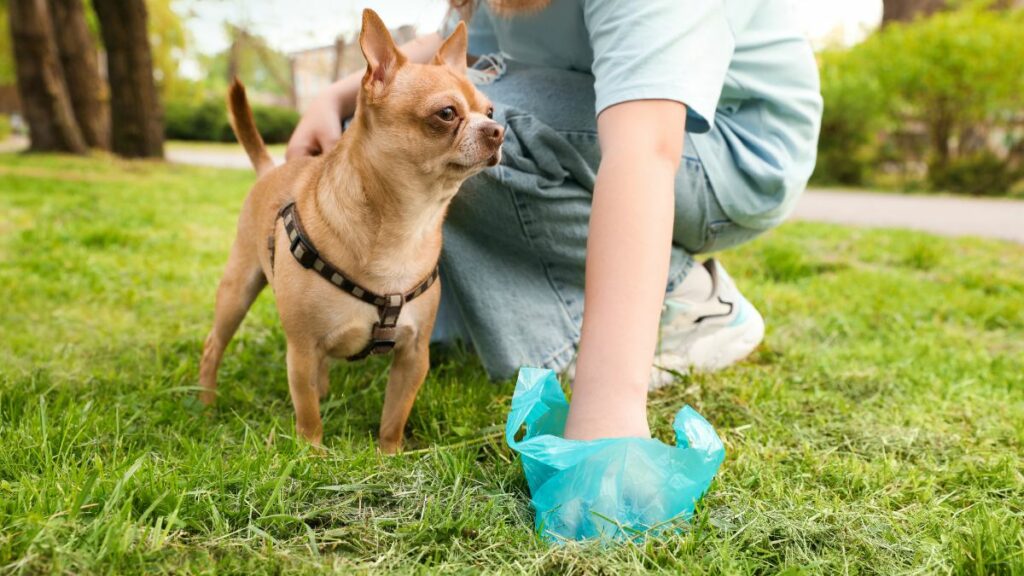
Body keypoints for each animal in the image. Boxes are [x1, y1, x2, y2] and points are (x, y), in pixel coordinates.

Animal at [197, 6, 501, 450]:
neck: (407, 222)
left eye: (491, 112)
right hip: (238, 290)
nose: (498, 131)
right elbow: (307, 414)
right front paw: (313, 453)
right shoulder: (301, 350)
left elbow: (394, 414)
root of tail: (270, 170)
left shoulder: (413, 355)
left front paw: (390, 455)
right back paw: (206, 403)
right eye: (446, 114)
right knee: (213, 346)